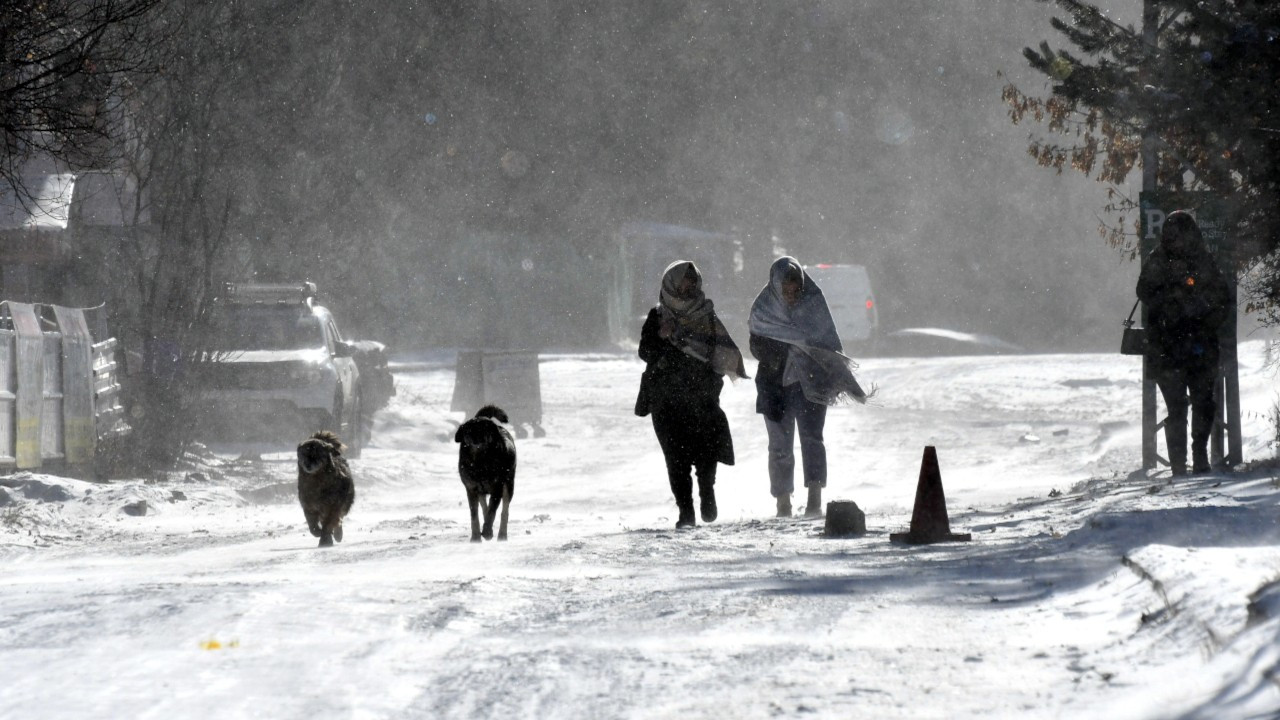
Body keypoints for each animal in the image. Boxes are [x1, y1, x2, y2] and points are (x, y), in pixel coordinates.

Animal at [453, 404, 517, 538]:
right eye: (469, 430)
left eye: (483, 429)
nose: (476, 438)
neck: (479, 462)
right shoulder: (471, 489)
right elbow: (475, 514)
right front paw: (476, 537)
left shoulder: (497, 489)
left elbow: (492, 512)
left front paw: (487, 531)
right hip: (480, 491)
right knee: (484, 507)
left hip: (508, 485)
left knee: (504, 511)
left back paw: (502, 534)